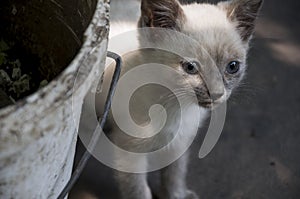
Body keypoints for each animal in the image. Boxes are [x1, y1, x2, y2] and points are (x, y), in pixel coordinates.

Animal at [92, 0, 262, 199]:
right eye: (190, 67)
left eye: (232, 66)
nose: (217, 93)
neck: (176, 108)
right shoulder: (128, 153)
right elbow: (138, 189)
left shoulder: (180, 143)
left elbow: (175, 173)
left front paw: (175, 194)